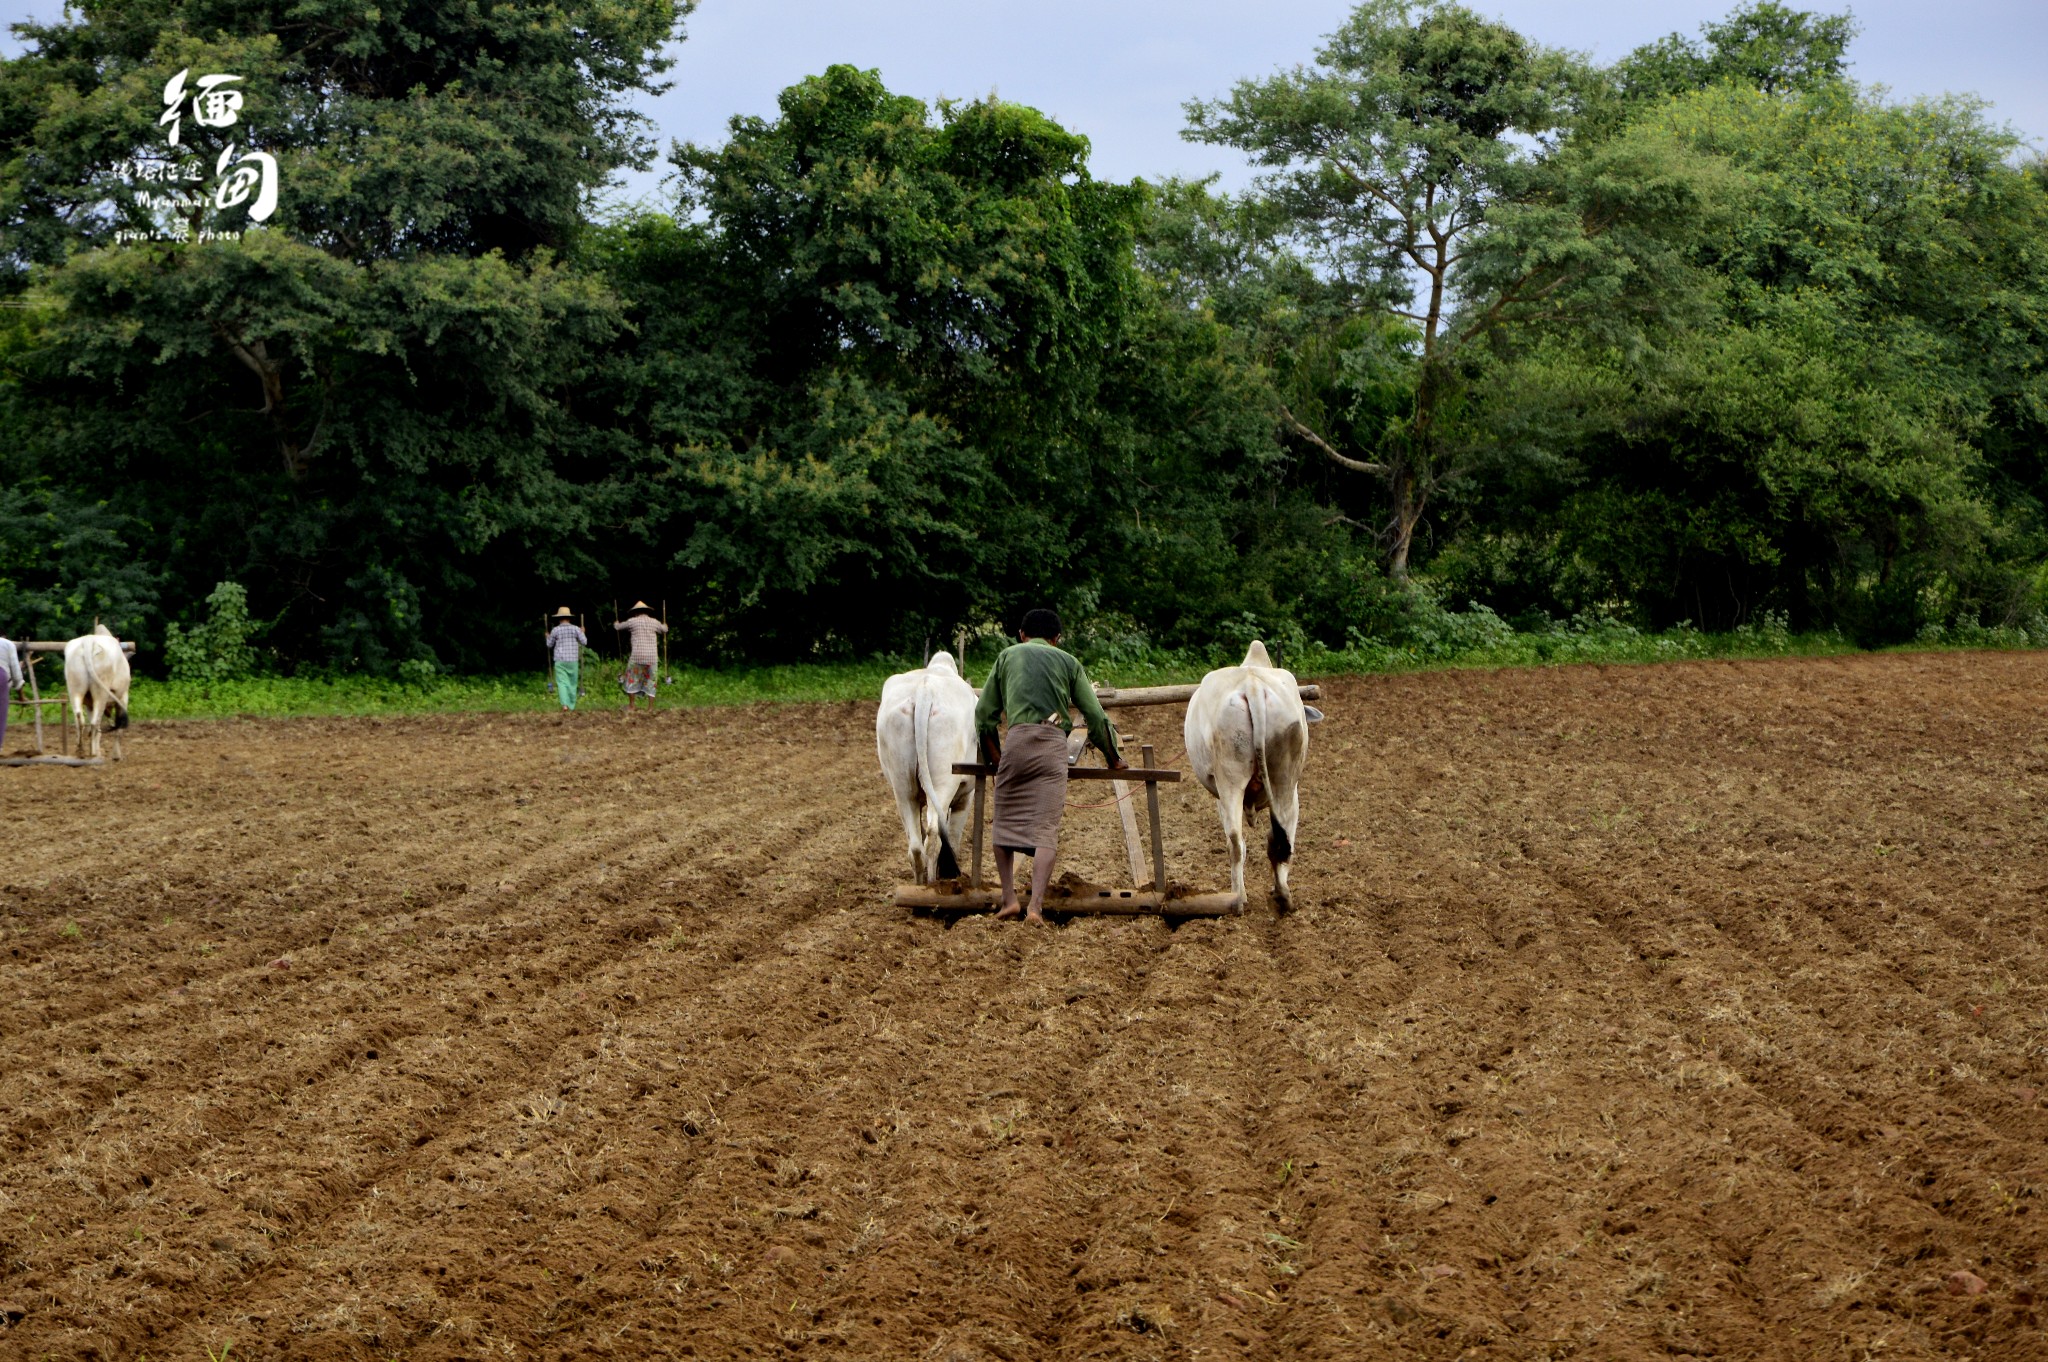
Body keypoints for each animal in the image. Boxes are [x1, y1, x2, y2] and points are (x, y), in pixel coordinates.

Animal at [65, 622, 132, 757]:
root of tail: (88, 641)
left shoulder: (89, 704)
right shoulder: (123, 698)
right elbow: (119, 729)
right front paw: (116, 755)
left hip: (75, 691)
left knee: (80, 720)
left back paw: (81, 751)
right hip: (101, 694)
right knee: (95, 723)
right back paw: (93, 753)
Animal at [876, 651, 978, 880]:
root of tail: (925, 691)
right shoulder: (966, 797)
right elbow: (954, 840)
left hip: (903, 789)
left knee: (915, 847)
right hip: (943, 783)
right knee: (933, 837)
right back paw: (932, 883)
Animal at [1187, 639, 1327, 913]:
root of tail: (1252, 686)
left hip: (1231, 782)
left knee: (1236, 842)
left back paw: (1238, 898)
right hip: (1284, 783)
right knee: (1279, 841)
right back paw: (1282, 896)